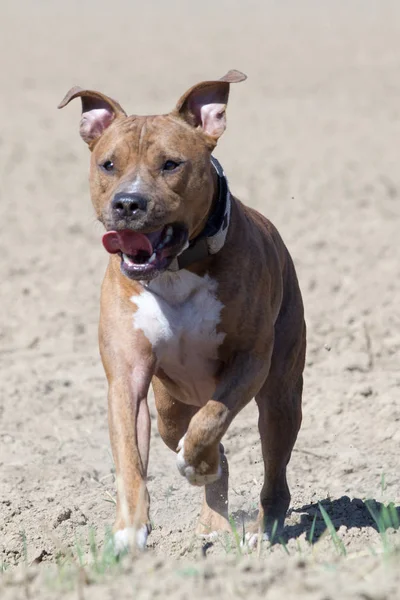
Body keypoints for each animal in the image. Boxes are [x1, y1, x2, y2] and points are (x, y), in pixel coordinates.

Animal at [57, 69, 304, 548]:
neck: (175, 271)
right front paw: (130, 529)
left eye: (171, 164)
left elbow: (213, 418)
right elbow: (130, 459)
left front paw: (195, 463)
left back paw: (261, 529)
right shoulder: (128, 377)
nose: (128, 203)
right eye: (108, 164)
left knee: (274, 469)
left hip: (281, 395)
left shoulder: (250, 359)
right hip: (170, 405)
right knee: (189, 437)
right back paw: (213, 518)